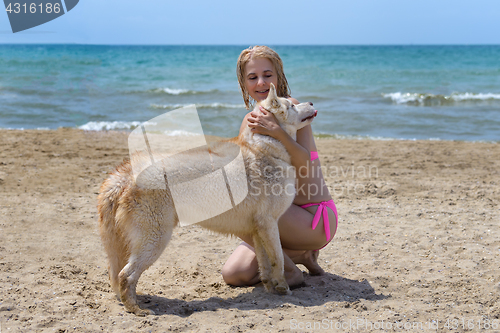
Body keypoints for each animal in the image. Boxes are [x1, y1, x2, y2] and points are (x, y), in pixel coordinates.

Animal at [97, 83, 316, 314]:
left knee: (118, 274)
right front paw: (283, 288)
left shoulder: (259, 229)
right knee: (126, 275)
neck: (265, 148)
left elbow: (265, 265)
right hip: (155, 239)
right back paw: (137, 309)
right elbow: (279, 259)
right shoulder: (270, 224)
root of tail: (123, 175)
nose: (311, 102)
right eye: (291, 105)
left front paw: (271, 289)